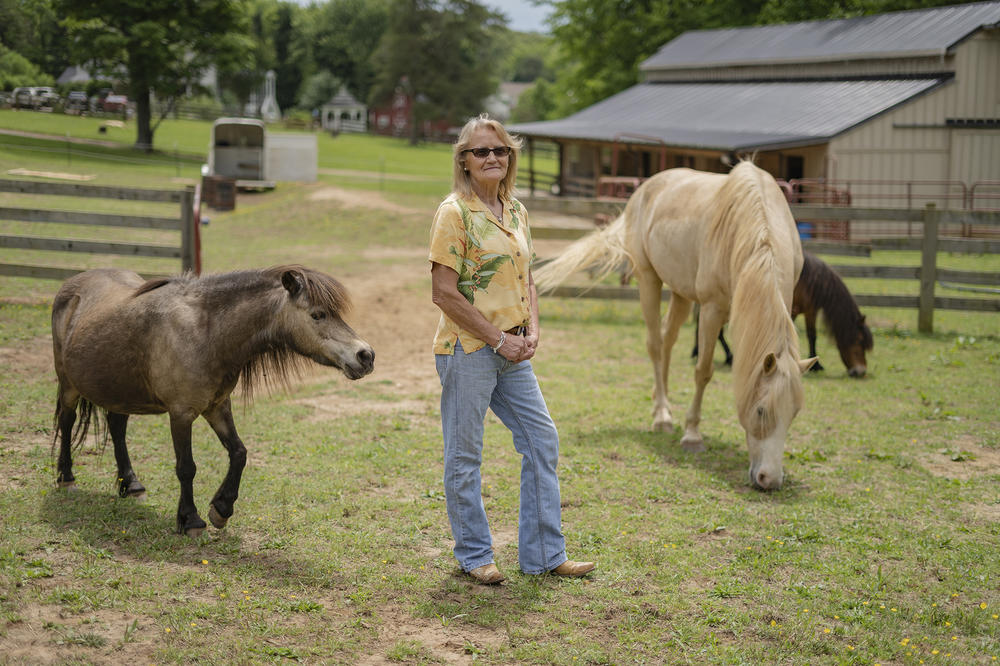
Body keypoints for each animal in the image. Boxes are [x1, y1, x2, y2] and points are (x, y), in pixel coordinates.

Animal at [50, 264, 374, 536]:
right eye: (317, 314)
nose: (366, 355)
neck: (207, 333)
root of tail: (72, 284)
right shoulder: (181, 413)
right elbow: (186, 467)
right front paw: (190, 519)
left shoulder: (218, 407)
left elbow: (239, 453)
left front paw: (221, 509)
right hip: (68, 384)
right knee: (67, 422)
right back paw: (67, 478)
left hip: (120, 392)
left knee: (117, 428)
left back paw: (131, 485)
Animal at [536, 162, 816, 488]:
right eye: (761, 410)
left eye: (794, 413)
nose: (769, 479)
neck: (755, 231)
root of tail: (644, 189)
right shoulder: (711, 309)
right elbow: (703, 371)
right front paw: (692, 435)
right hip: (649, 280)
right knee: (656, 344)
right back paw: (662, 417)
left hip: (681, 293)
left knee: (667, 340)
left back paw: (662, 402)